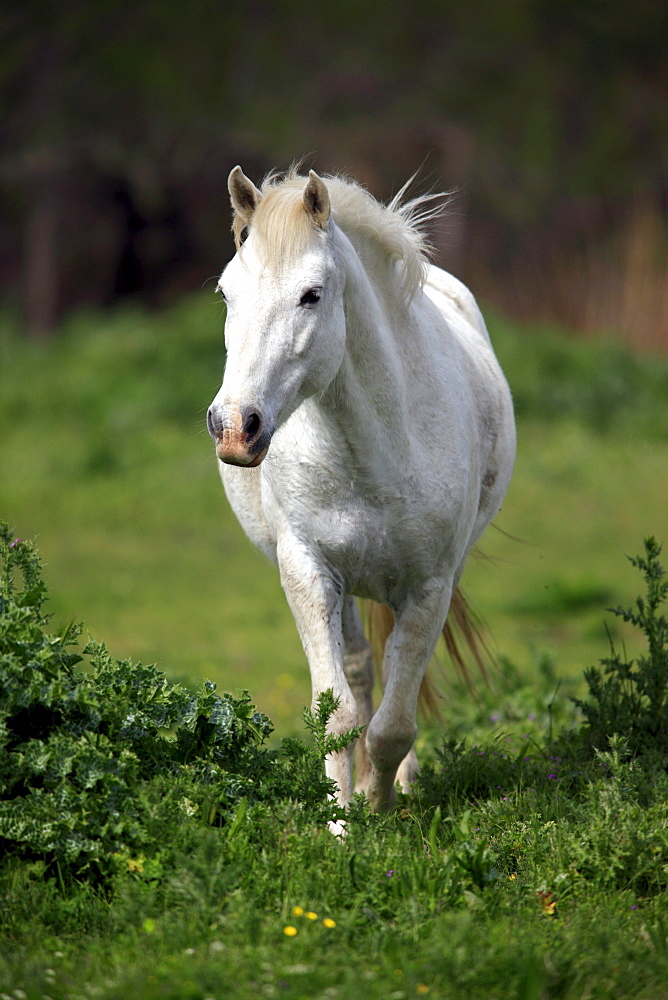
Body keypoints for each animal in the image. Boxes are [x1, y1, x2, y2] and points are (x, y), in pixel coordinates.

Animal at [209, 166, 516, 812]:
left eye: (312, 295)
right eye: (226, 293)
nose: (235, 427)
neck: (372, 453)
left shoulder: (429, 588)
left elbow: (394, 725)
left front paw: (382, 809)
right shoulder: (308, 572)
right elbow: (338, 714)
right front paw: (343, 819)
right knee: (360, 672)